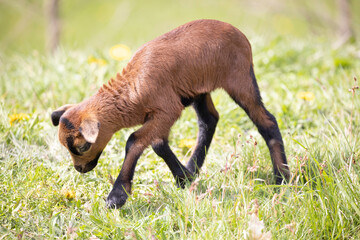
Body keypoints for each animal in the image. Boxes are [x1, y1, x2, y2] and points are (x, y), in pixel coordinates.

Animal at [50, 19, 290, 209]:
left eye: (83, 147)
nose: (80, 169)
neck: (130, 92)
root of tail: (240, 34)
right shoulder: (161, 116)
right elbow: (158, 144)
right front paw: (184, 178)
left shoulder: (167, 110)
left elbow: (134, 141)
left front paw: (117, 196)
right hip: (198, 88)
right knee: (209, 120)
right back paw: (193, 167)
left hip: (240, 80)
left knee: (267, 121)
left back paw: (282, 178)